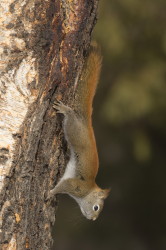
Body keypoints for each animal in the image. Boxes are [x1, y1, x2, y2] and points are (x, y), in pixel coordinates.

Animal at [48, 43, 109, 221]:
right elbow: (63, 186)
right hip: (74, 130)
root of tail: (86, 122)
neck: (89, 190)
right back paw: (65, 110)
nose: (93, 219)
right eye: (96, 207)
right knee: (70, 118)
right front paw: (50, 193)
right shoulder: (77, 186)